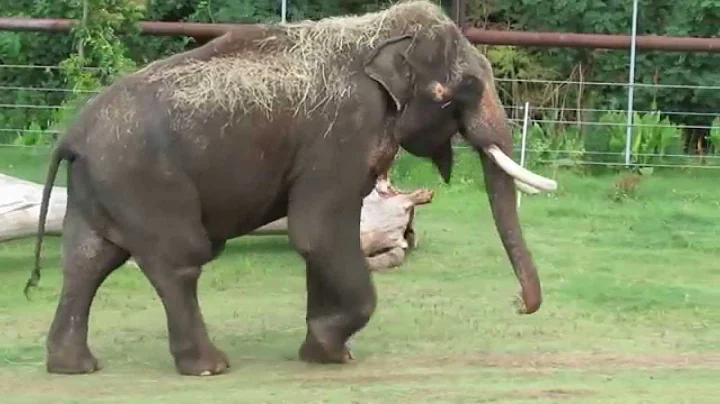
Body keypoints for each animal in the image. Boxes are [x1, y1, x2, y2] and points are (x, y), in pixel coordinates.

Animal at [25, 0, 557, 376]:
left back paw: (74, 367)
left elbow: (323, 239)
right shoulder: (343, 131)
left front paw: (326, 354)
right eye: (463, 90)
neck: (374, 30)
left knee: (88, 261)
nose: (517, 305)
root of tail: (71, 135)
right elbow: (317, 231)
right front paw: (327, 348)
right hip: (145, 180)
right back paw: (210, 367)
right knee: (179, 259)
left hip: (105, 185)